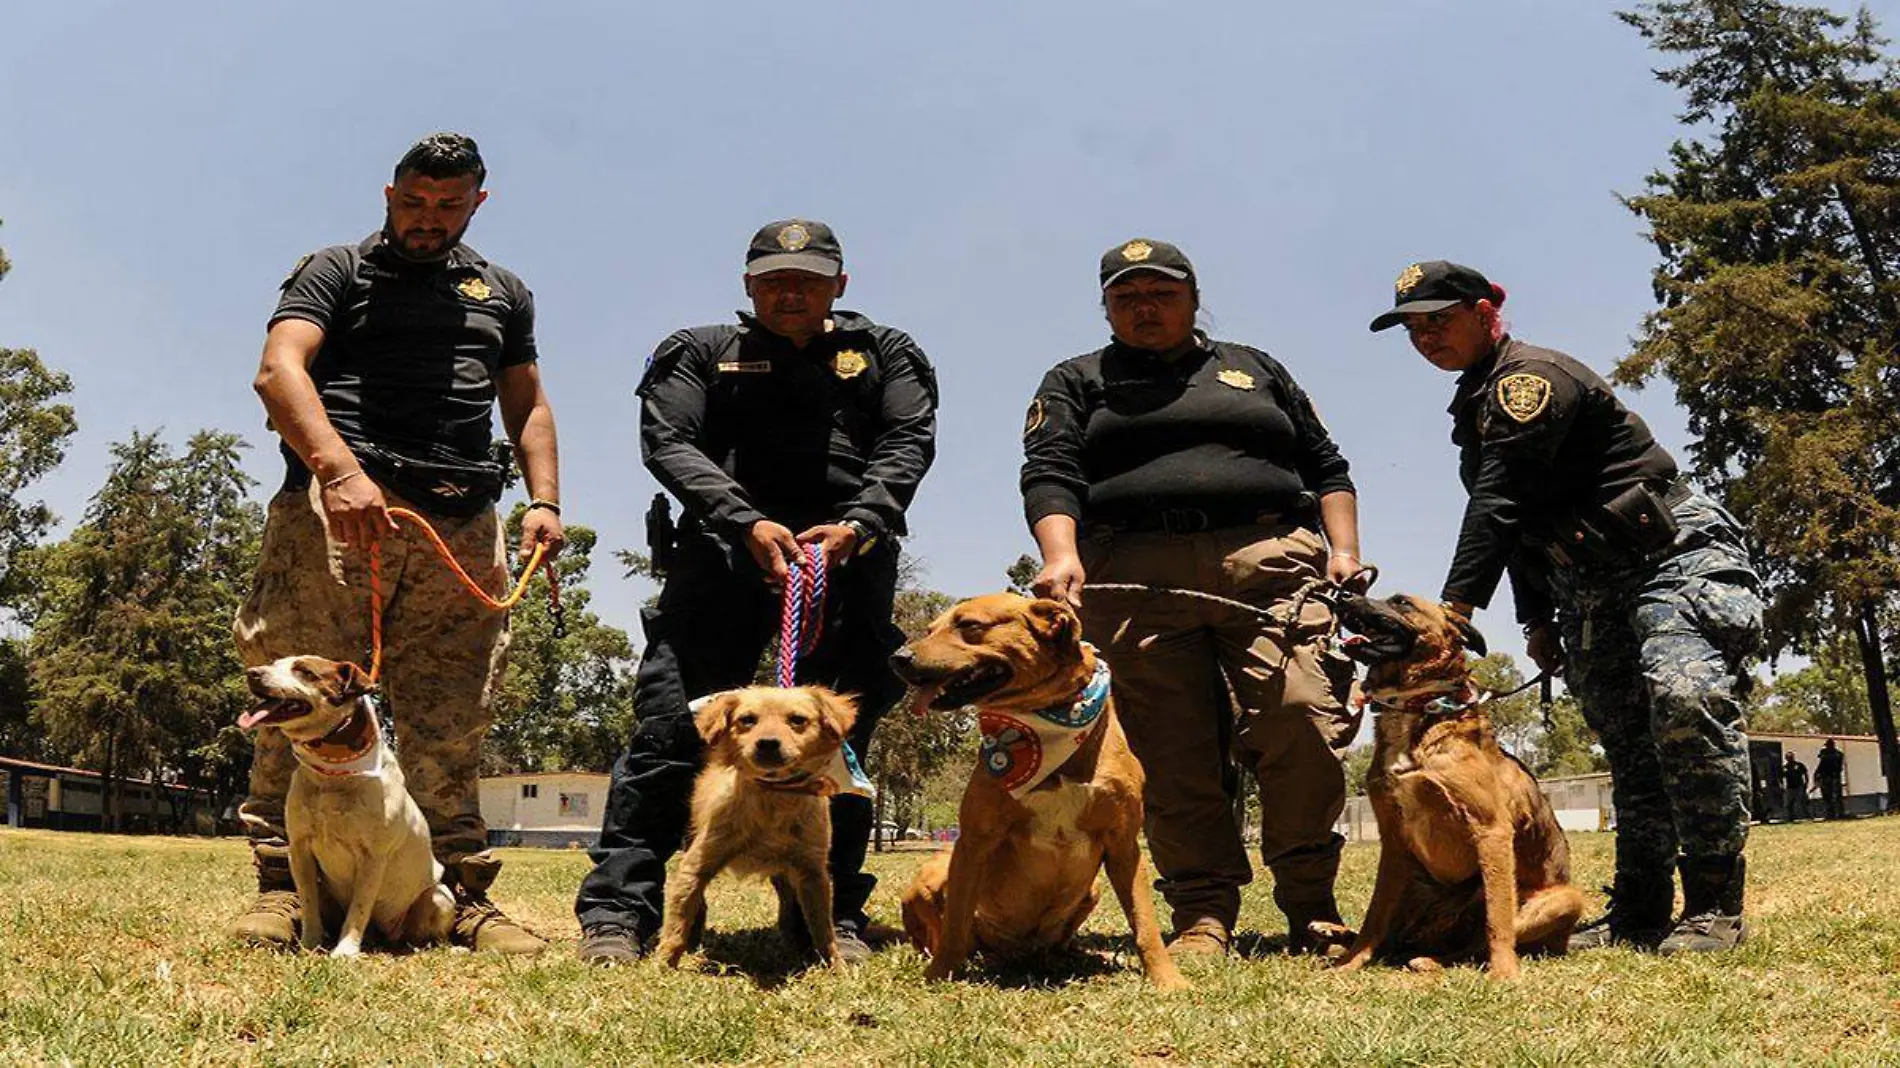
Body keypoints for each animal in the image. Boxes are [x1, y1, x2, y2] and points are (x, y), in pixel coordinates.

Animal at [241, 653, 456, 950]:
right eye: (274, 664)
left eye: (304, 671)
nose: (252, 673)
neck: (332, 774)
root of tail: (386, 934)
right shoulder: (300, 849)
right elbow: (309, 903)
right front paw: (310, 944)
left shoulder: (373, 857)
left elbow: (359, 908)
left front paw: (345, 950)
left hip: (440, 897)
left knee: (423, 934)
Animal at [657, 680, 858, 965]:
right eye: (747, 720)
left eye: (798, 720)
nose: (768, 744)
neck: (772, 797)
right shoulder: (696, 864)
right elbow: (677, 922)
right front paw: (662, 964)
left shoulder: (813, 872)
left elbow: (822, 928)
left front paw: (835, 965)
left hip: (786, 876)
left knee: (787, 907)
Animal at [889, 589, 1185, 988]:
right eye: (931, 628)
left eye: (969, 625)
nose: (897, 659)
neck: (1051, 722)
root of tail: (1018, 951)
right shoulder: (973, 841)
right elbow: (954, 923)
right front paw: (939, 974)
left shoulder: (1124, 844)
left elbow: (1145, 922)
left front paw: (1167, 979)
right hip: (933, 873)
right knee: (945, 933)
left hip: (1091, 890)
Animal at [1322, 592, 1588, 980]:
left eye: (1401, 602)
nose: (1341, 595)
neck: (1417, 706)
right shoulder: (1393, 840)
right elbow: (1375, 917)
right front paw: (1351, 962)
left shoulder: (1491, 830)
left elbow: (1497, 920)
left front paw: (1504, 973)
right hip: (1415, 881)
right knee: (1397, 937)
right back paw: (1334, 933)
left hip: (1564, 898)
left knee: (1468, 945)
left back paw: (1431, 960)